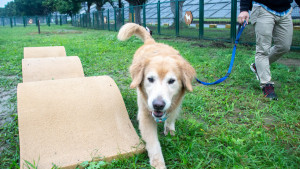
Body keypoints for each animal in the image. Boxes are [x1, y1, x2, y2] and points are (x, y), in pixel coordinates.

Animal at [117, 23, 197, 168]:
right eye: (150, 79)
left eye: (171, 81)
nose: (158, 105)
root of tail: (151, 42)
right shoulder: (145, 115)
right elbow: (154, 145)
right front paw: (158, 164)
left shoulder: (177, 101)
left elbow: (171, 116)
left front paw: (169, 129)